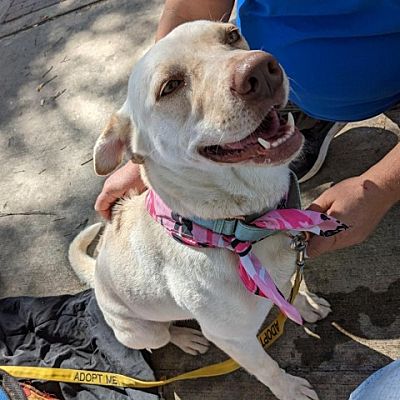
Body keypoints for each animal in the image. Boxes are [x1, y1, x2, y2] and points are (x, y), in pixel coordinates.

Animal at [69, 21, 332, 400]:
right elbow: (267, 369)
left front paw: (304, 303)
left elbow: (291, 287)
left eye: (232, 35)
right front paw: (290, 390)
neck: (241, 226)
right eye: (170, 86)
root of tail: (97, 277)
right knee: (162, 334)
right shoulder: (234, 339)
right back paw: (185, 338)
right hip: (141, 331)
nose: (260, 69)